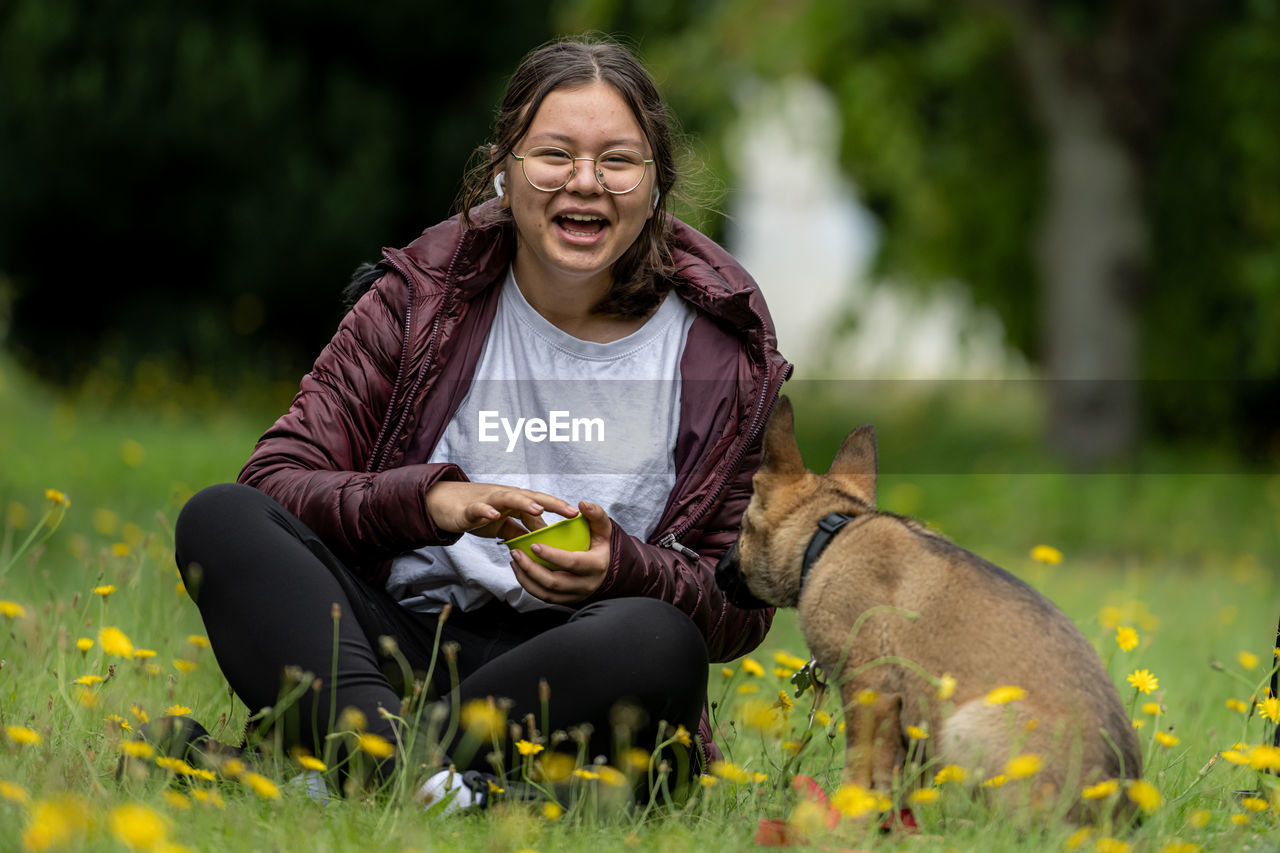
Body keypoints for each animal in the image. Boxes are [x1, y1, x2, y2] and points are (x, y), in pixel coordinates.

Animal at [716, 399, 1146, 819]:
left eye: (742, 526)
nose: (717, 571)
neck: (830, 533)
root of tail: (1118, 816)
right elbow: (896, 784)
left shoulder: (870, 691)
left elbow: (861, 771)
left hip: (968, 724)